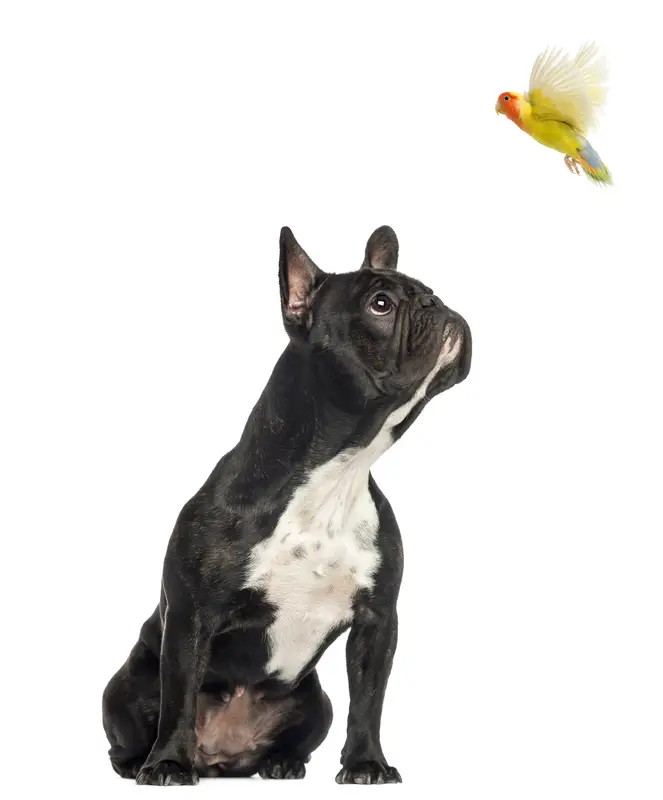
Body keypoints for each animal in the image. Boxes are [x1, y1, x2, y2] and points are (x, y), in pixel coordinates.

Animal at [101, 227, 470, 788]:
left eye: (430, 290)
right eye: (380, 304)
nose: (438, 303)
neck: (336, 474)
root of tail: (221, 758)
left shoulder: (377, 621)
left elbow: (369, 699)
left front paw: (366, 763)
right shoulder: (191, 617)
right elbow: (180, 694)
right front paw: (167, 764)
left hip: (316, 700)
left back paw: (282, 762)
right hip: (122, 688)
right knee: (134, 724)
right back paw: (141, 763)